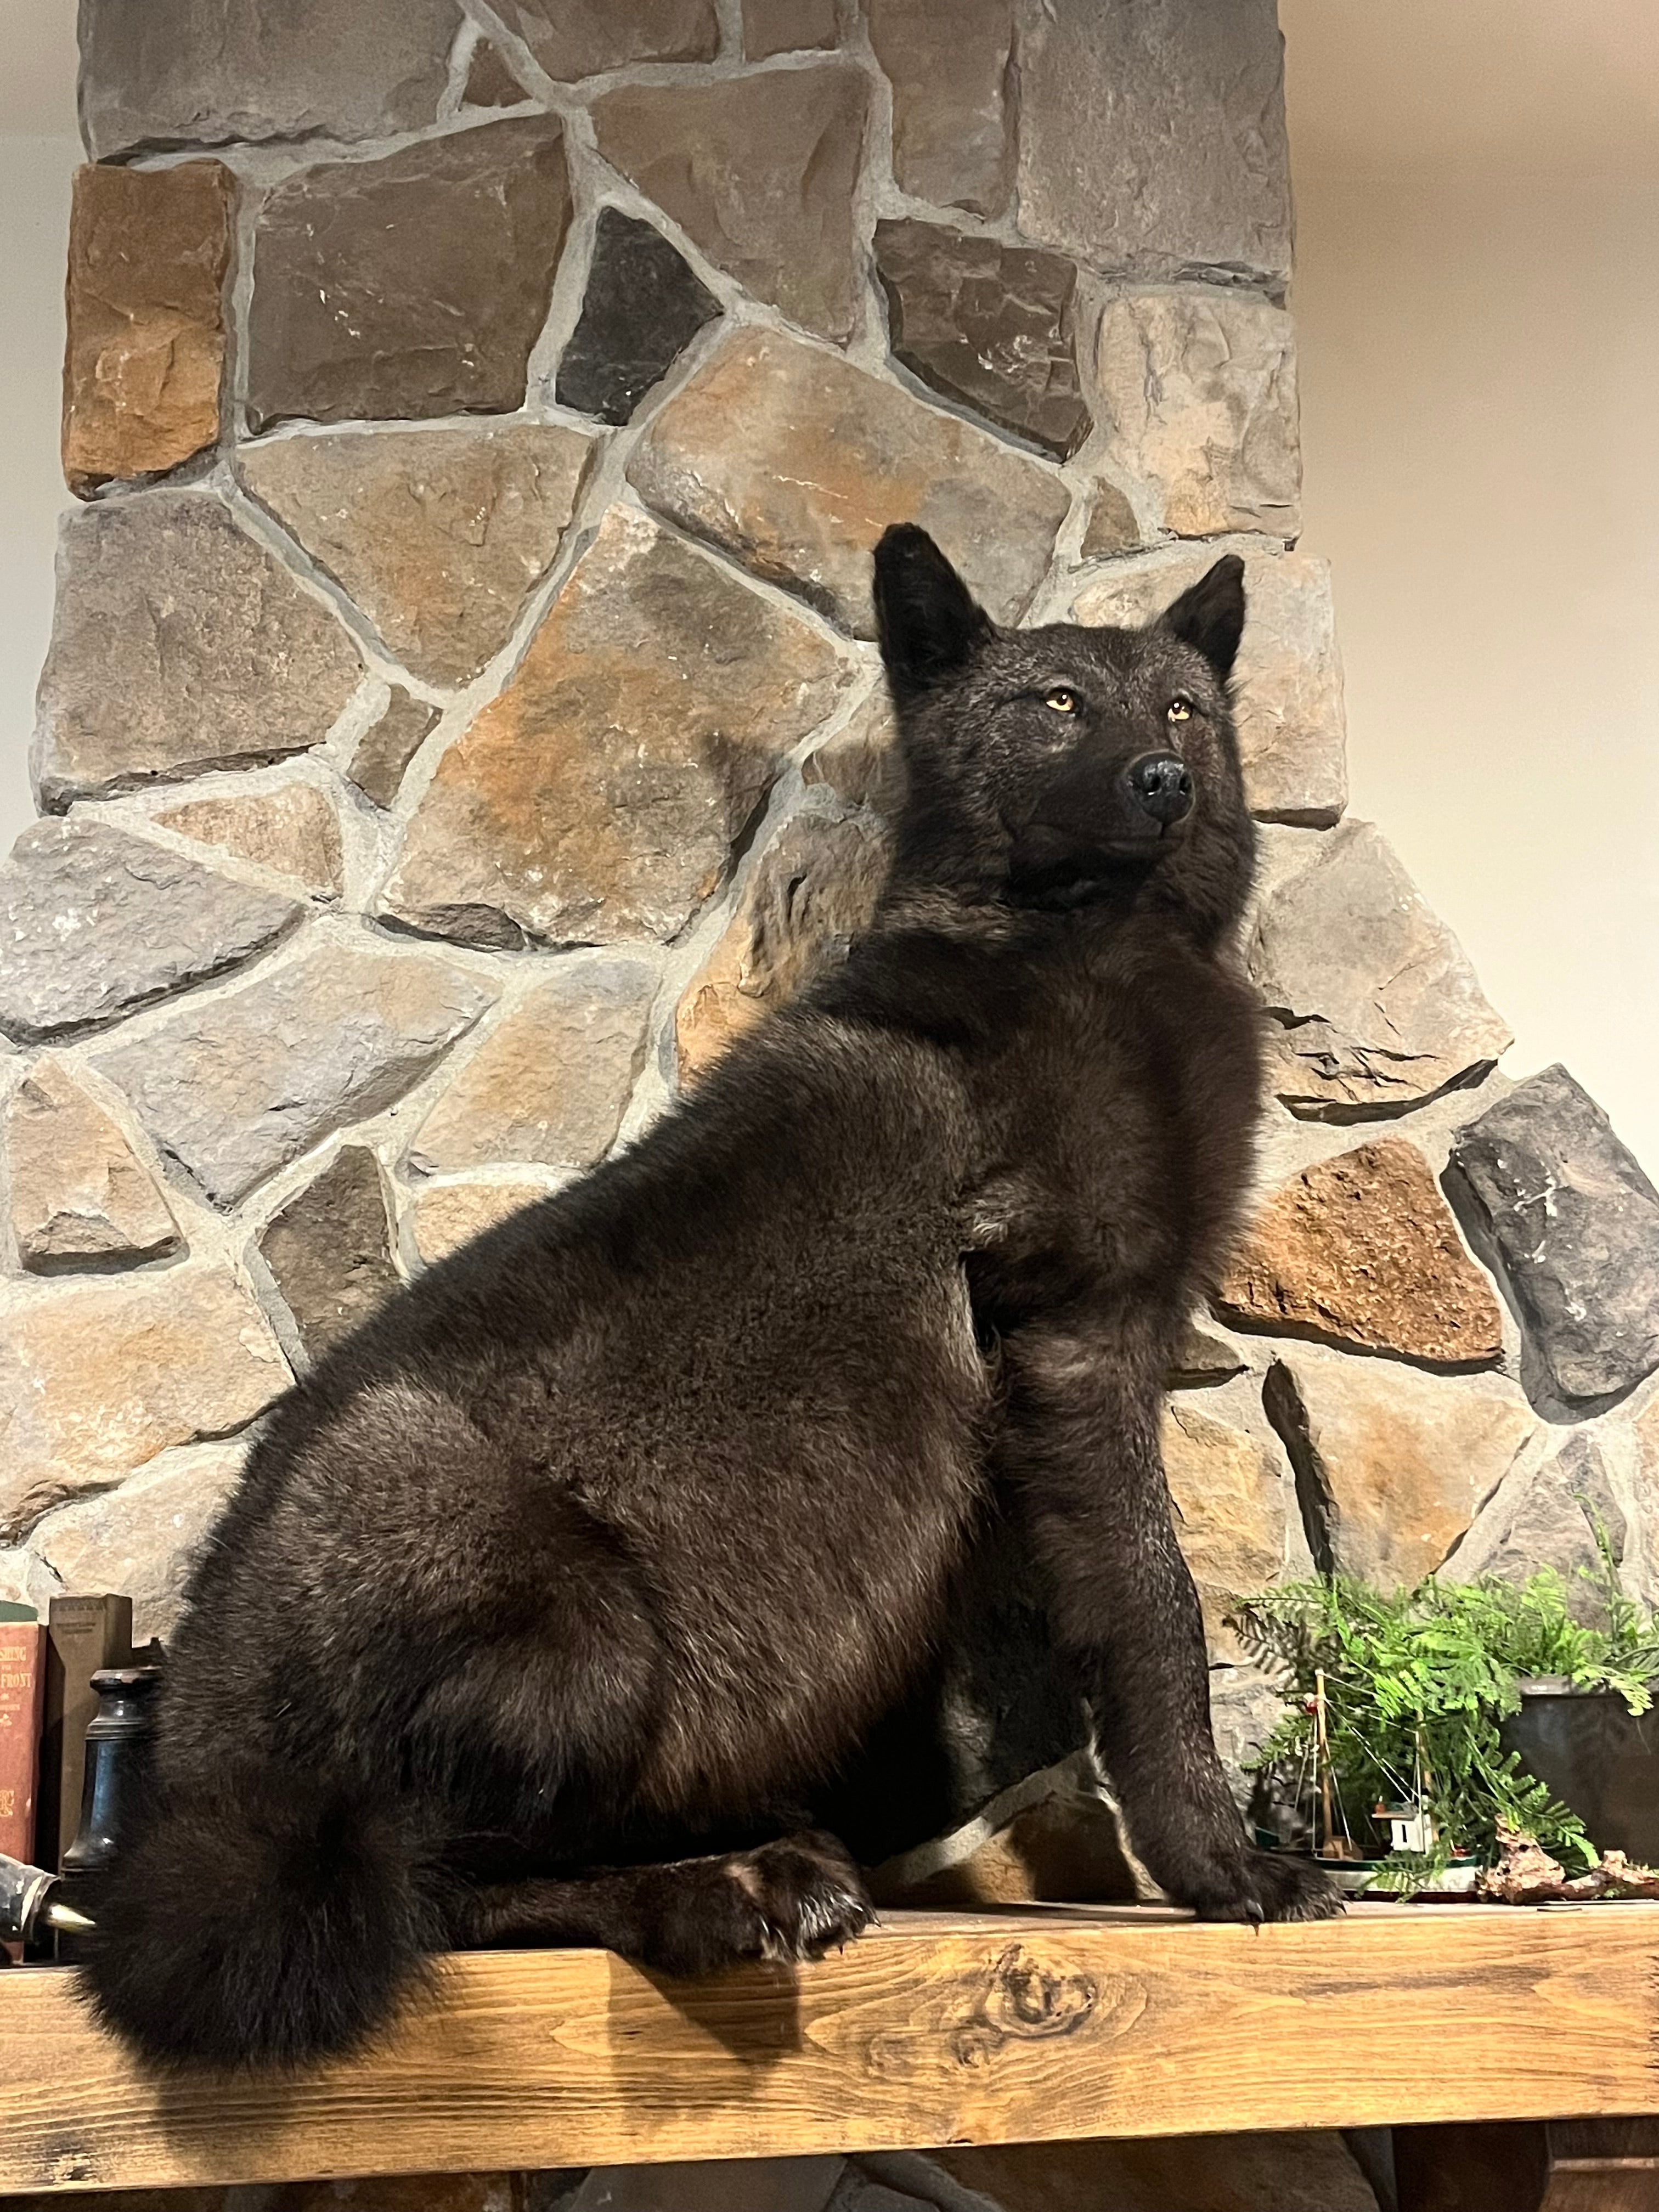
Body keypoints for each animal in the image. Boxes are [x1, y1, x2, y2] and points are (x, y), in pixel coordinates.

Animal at [84, 526, 1338, 2069]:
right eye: (1053, 704)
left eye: (1179, 709)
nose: (1165, 780)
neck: (1089, 949)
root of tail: (188, 1780)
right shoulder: (1083, 1340)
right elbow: (1165, 1623)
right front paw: (1221, 1869)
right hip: (562, 1610)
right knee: (437, 1885)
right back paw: (718, 1888)